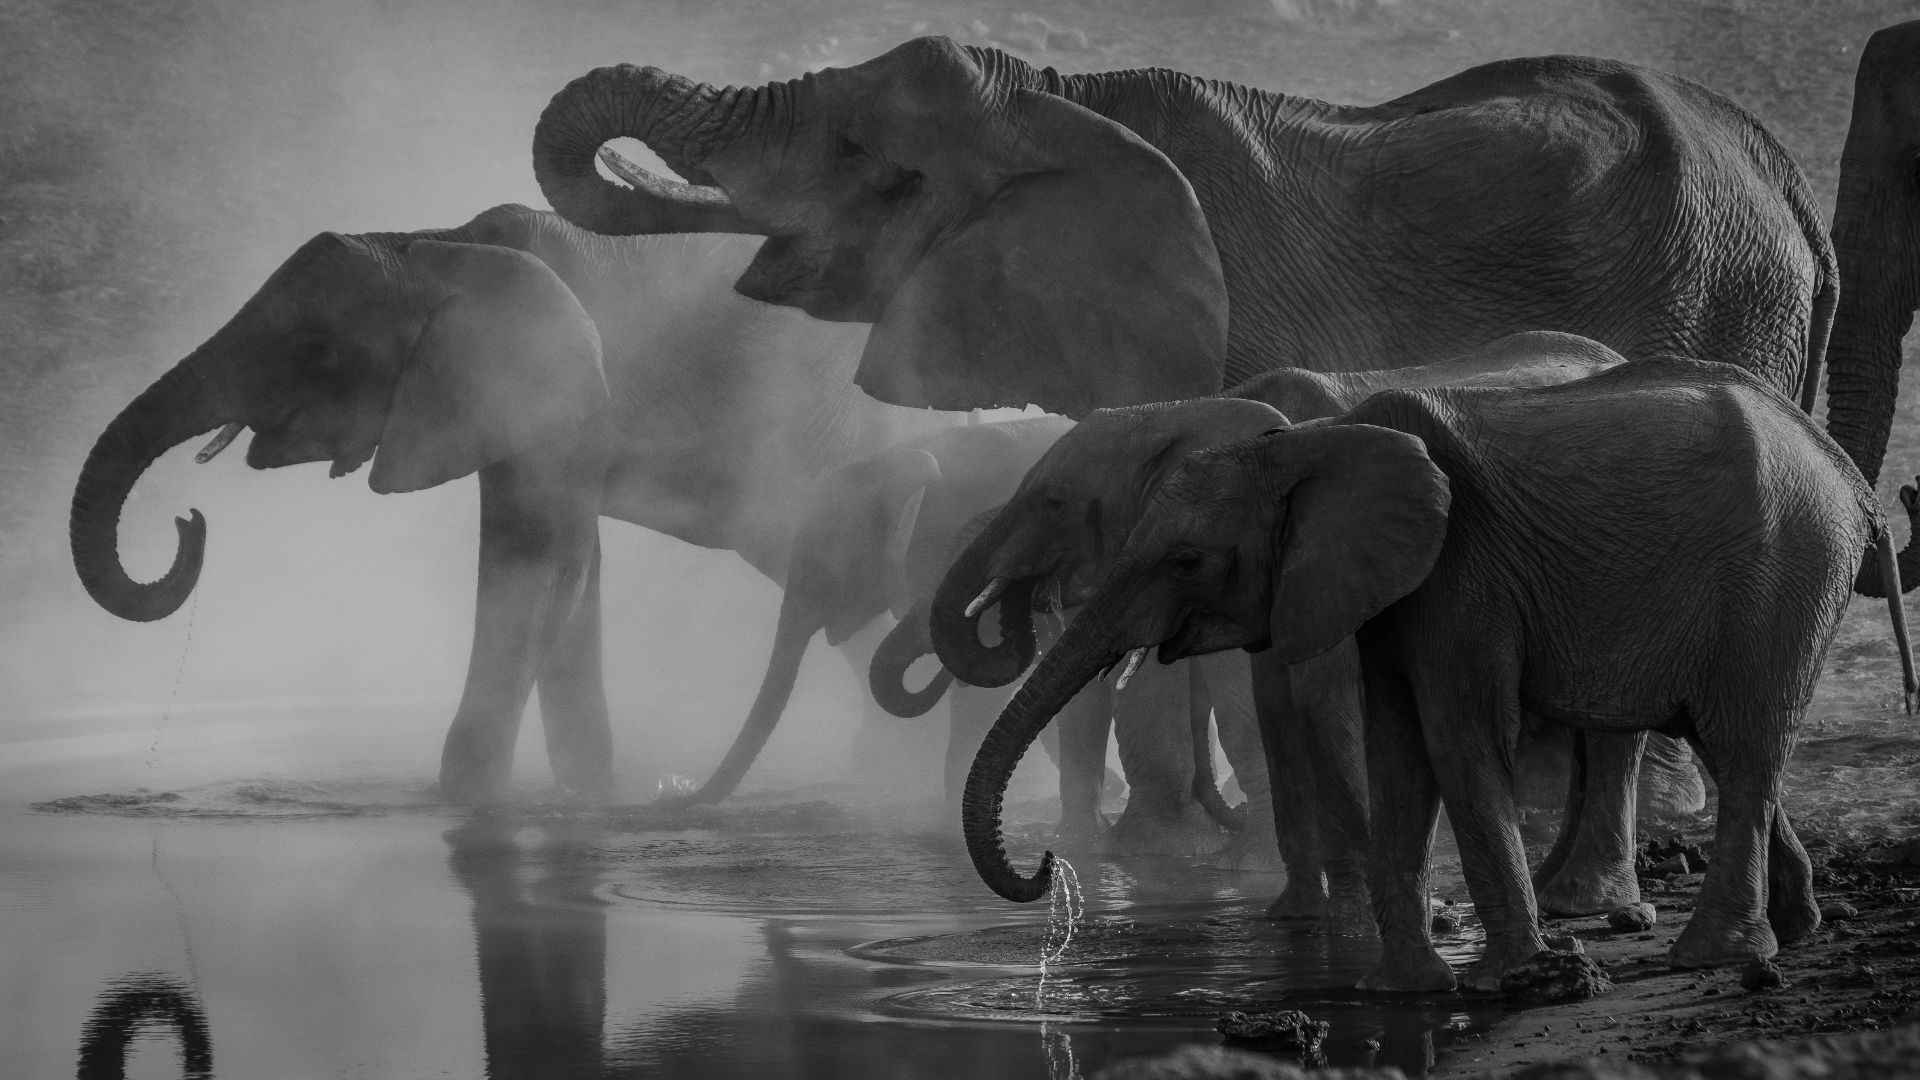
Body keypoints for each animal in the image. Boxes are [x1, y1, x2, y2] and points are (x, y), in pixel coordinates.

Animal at [69, 203, 963, 803]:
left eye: (315, 350)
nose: (189, 522)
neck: (434, 244)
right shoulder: (511, 405)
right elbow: (569, 574)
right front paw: (585, 798)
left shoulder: (556, 388)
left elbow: (537, 572)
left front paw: (471, 804)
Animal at [960, 355, 1919, 993]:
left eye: (1186, 559)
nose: (1047, 865)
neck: (1307, 444)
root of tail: (1851, 479)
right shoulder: (1383, 586)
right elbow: (1398, 746)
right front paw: (1407, 987)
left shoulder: (1465, 571)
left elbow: (1457, 734)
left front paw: (1515, 976)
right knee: (1730, 740)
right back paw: (1794, 930)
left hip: (1785, 573)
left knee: (1745, 741)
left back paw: (1715, 956)